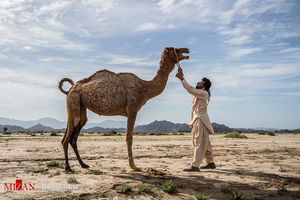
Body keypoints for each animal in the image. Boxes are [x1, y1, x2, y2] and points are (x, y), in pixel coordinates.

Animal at [58, 46, 189, 172]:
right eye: (177, 49)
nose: (187, 51)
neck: (144, 88)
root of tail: (70, 89)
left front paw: (133, 166)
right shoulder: (132, 109)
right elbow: (129, 138)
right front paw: (134, 167)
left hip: (81, 106)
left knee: (74, 134)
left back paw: (83, 164)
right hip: (74, 100)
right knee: (67, 137)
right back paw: (68, 168)